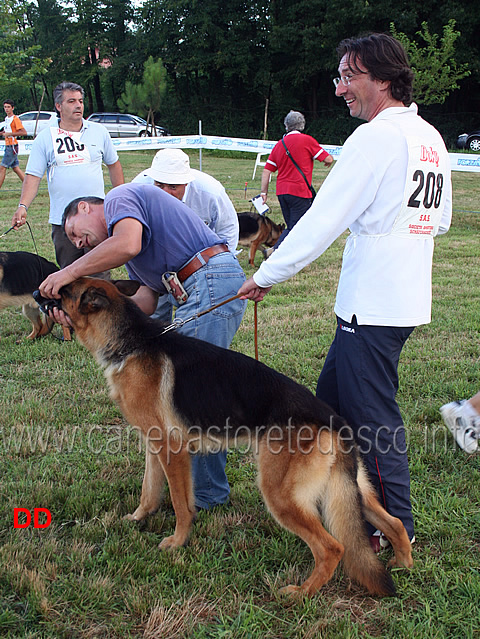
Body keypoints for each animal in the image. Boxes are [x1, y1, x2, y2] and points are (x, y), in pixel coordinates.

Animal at [45, 278, 412, 596]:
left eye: (63, 290)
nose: (40, 292)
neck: (133, 342)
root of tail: (334, 421)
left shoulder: (173, 449)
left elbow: (179, 503)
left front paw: (177, 542)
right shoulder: (153, 445)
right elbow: (149, 490)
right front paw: (137, 519)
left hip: (280, 494)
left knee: (332, 547)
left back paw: (302, 593)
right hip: (350, 490)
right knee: (393, 522)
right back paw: (403, 564)